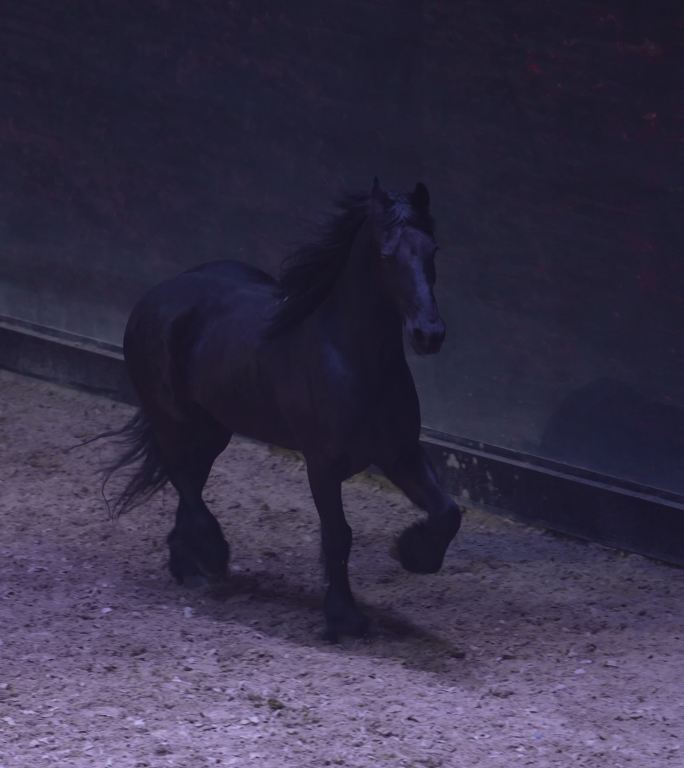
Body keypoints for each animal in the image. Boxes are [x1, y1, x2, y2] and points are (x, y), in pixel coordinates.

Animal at [106, 178, 462, 641]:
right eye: (387, 255)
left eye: (432, 250)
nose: (429, 334)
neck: (353, 360)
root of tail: (157, 294)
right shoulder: (323, 465)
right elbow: (338, 535)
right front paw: (344, 618)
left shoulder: (400, 454)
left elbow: (447, 512)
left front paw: (414, 553)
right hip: (173, 419)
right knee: (182, 476)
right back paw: (212, 556)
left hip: (212, 428)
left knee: (190, 479)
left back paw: (189, 565)